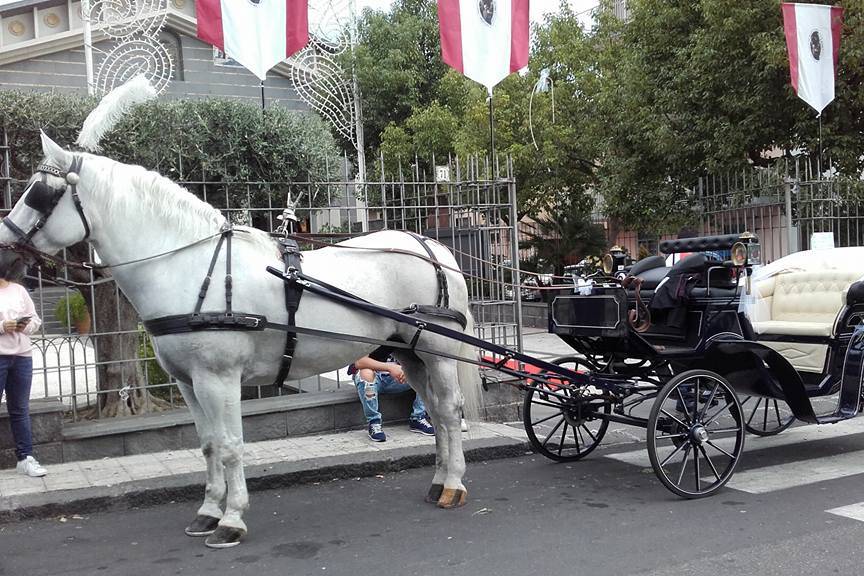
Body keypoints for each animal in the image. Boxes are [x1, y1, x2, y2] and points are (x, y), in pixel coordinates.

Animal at [3, 134, 482, 548]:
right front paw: (208, 512)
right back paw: (438, 481)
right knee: (435, 412)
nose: (4, 252)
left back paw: (454, 484)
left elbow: (232, 445)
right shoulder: (188, 382)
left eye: (39, 194)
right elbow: (209, 444)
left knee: (446, 410)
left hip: (437, 354)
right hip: (410, 354)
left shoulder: (218, 378)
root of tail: (431, 246)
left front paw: (231, 520)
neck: (189, 266)